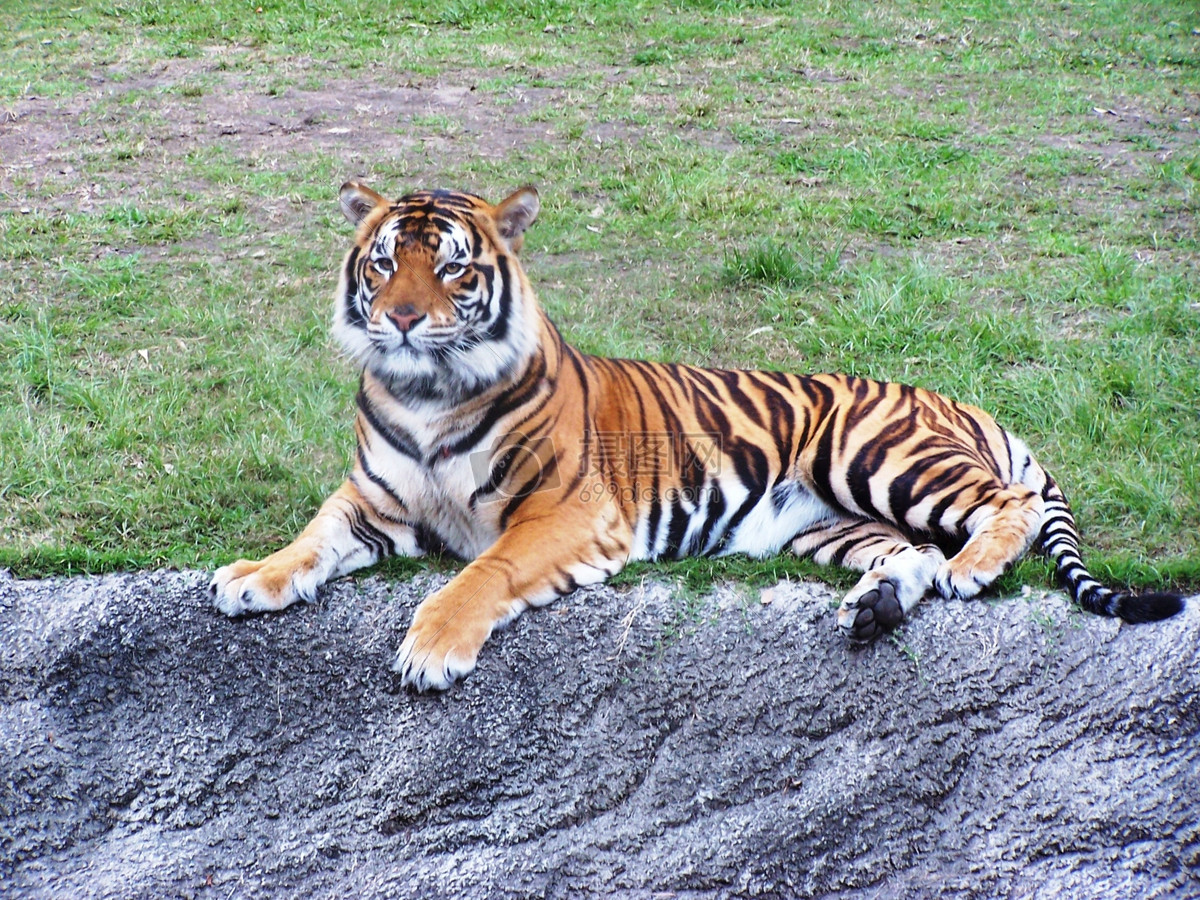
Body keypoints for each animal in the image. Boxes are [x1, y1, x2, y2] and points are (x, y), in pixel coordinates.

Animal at [211, 181, 1185, 691]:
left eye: (452, 267)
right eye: (383, 262)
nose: (404, 318)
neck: (425, 391)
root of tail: (964, 404)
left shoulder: (564, 513)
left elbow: (484, 572)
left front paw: (431, 650)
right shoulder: (372, 501)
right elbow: (311, 537)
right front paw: (251, 578)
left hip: (877, 455)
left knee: (1004, 505)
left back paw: (973, 566)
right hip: (828, 525)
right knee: (910, 554)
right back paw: (878, 604)